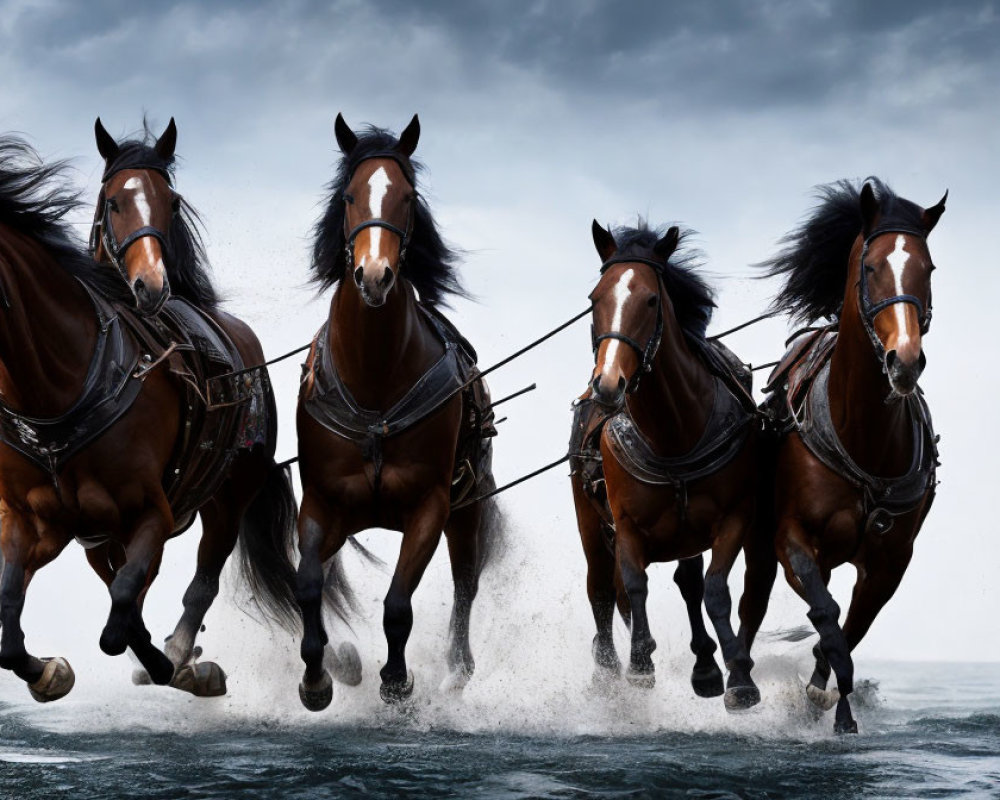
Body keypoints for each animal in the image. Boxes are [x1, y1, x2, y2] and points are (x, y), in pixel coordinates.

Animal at [292, 114, 504, 712]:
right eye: (348, 196)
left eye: (407, 197)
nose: (374, 276)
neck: (376, 384)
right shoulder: (322, 503)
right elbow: (309, 583)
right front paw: (317, 676)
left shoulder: (430, 506)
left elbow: (398, 603)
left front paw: (396, 679)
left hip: (469, 507)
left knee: (466, 584)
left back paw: (458, 669)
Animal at [576, 222, 768, 708]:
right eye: (594, 297)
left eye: (650, 299)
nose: (608, 384)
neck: (672, 436)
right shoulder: (624, 523)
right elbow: (634, 584)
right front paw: (640, 662)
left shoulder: (734, 516)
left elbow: (715, 589)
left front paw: (738, 675)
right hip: (590, 521)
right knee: (602, 591)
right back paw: (609, 668)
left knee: (690, 582)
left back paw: (705, 666)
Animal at [740, 178, 948, 736]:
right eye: (871, 267)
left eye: (928, 268)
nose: (904, 361)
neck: (864, 441)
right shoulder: (792, 539)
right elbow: (828, 618)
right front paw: (832, 703)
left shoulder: (890, 562)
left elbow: (851, 626)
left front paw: (829, 698)